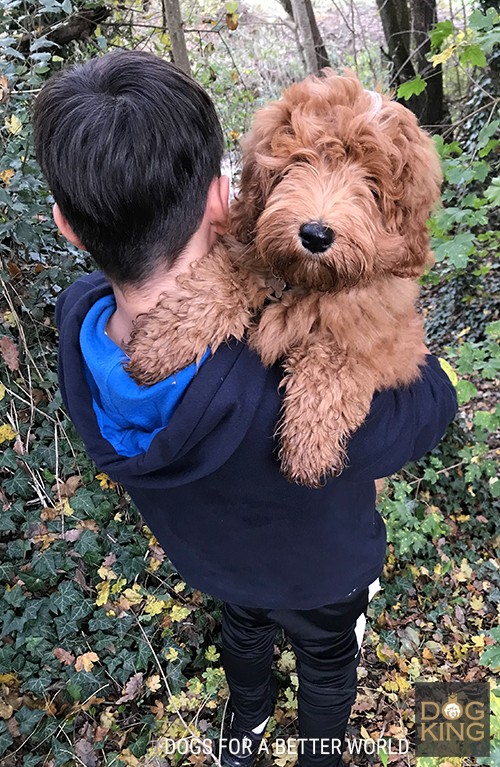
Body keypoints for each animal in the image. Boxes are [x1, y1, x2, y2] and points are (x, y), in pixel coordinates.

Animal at [125, 70, 442, 486]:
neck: (303, 282)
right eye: (299, 161)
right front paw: (161, 345)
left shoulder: (388, 341)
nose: (316, 235)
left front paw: (309, 446)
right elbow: (220, 279)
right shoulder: (244, 244)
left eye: (372, 184)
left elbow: (337, 361)